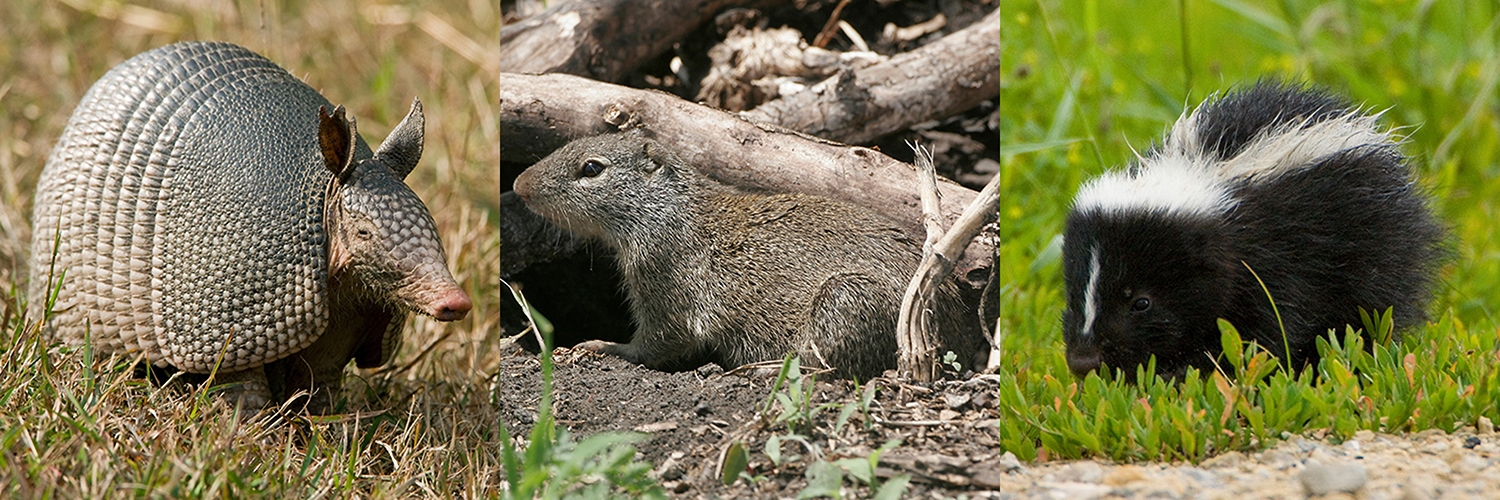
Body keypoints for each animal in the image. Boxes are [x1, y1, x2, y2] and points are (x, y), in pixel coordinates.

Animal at [512, 130, 984, 378]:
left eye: (592, 168)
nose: (518, 184)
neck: (668, 208)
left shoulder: (665, 299)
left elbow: (648, 348)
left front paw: (598, 346)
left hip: (843, 299)